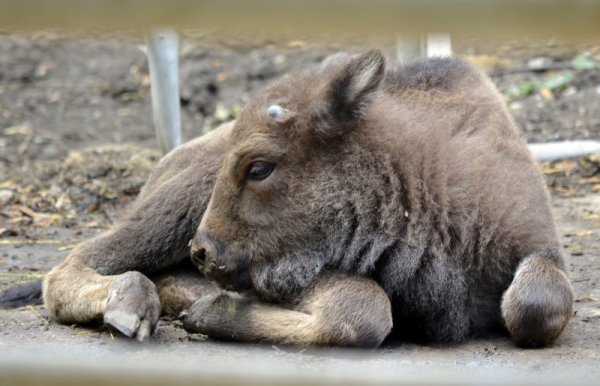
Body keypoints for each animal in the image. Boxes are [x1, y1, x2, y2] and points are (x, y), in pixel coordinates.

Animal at [41, 49, 572, 348]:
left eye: (258, 167)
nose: (202, 252)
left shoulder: (539, 246)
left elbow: (535, 306)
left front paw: (207, 311)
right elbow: (365, 310)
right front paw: (209, 313)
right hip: (172, 210)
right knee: (71, 267)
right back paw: (132, 307)